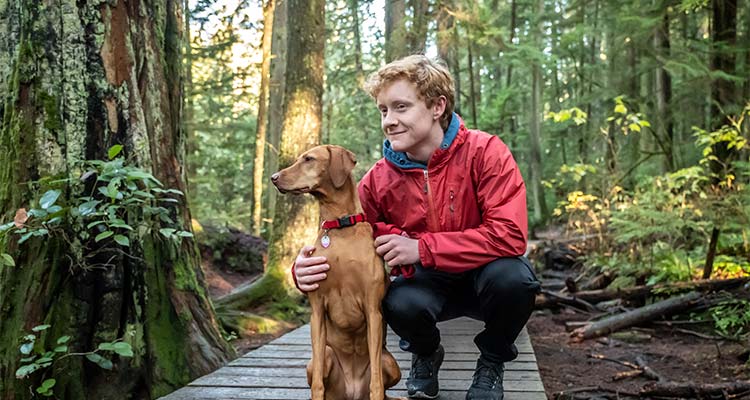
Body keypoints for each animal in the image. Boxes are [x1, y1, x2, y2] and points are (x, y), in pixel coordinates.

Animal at [272, 145, 406, 400]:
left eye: (309, 159)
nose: (273, 177)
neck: (340, 227)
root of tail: (352, 392)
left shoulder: (373, 311)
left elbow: (376, 382)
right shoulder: (316, 312)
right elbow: (317, 383)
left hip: (391, 363)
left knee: (383, 385)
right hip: (323, 357)